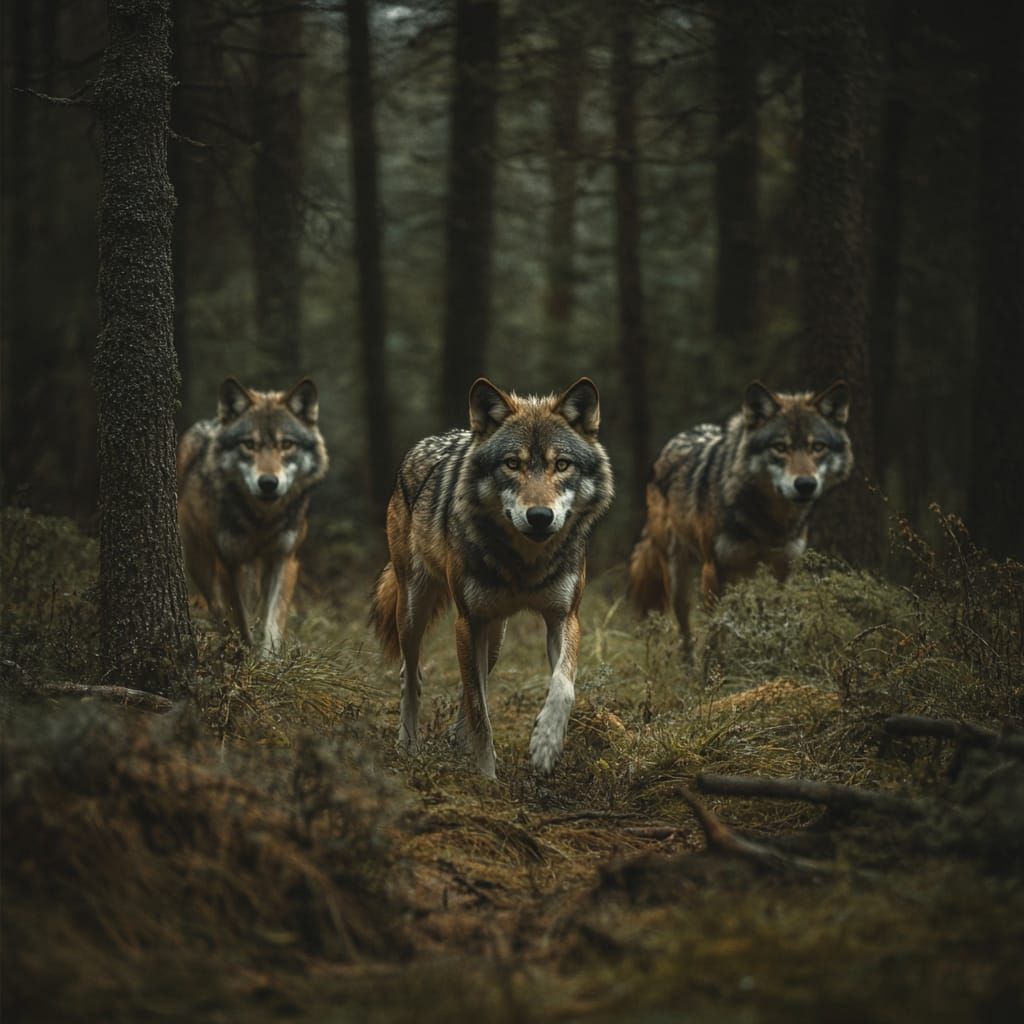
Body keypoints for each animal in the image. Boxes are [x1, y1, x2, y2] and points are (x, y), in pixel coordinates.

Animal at [177, 377, 328, 652]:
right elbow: (240, 617)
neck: (262, 519)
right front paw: (244, 652)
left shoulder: (285, 558)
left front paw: (268, 657)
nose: (268, 483)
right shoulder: (229, 563)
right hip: (200, 561)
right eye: (248, 444)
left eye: (286, 444)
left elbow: (273, 622)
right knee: (216, 606)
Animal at [370, 377, 614, 778]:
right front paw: (487, 777)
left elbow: (563, 686)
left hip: (495, 635)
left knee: (470, 682)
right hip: (414, 611)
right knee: (413, 675)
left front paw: (546, 745)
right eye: (512, 464)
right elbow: (480, 711)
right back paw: (408, 745)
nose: (540, 516)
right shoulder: (467, 622)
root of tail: (424, 444)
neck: (526, 564)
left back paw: (457, 743)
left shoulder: (565, 617)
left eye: (562, 464)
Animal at [628, 380, 853, 648]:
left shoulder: (782, 571)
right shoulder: (715, 571)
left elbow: (774, 623)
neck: (768, 523)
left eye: (817, 447)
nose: (805, 484)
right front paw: (716, 659)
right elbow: (717, 633)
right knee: (686, 631)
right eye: (780, 447)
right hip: (678, 577)